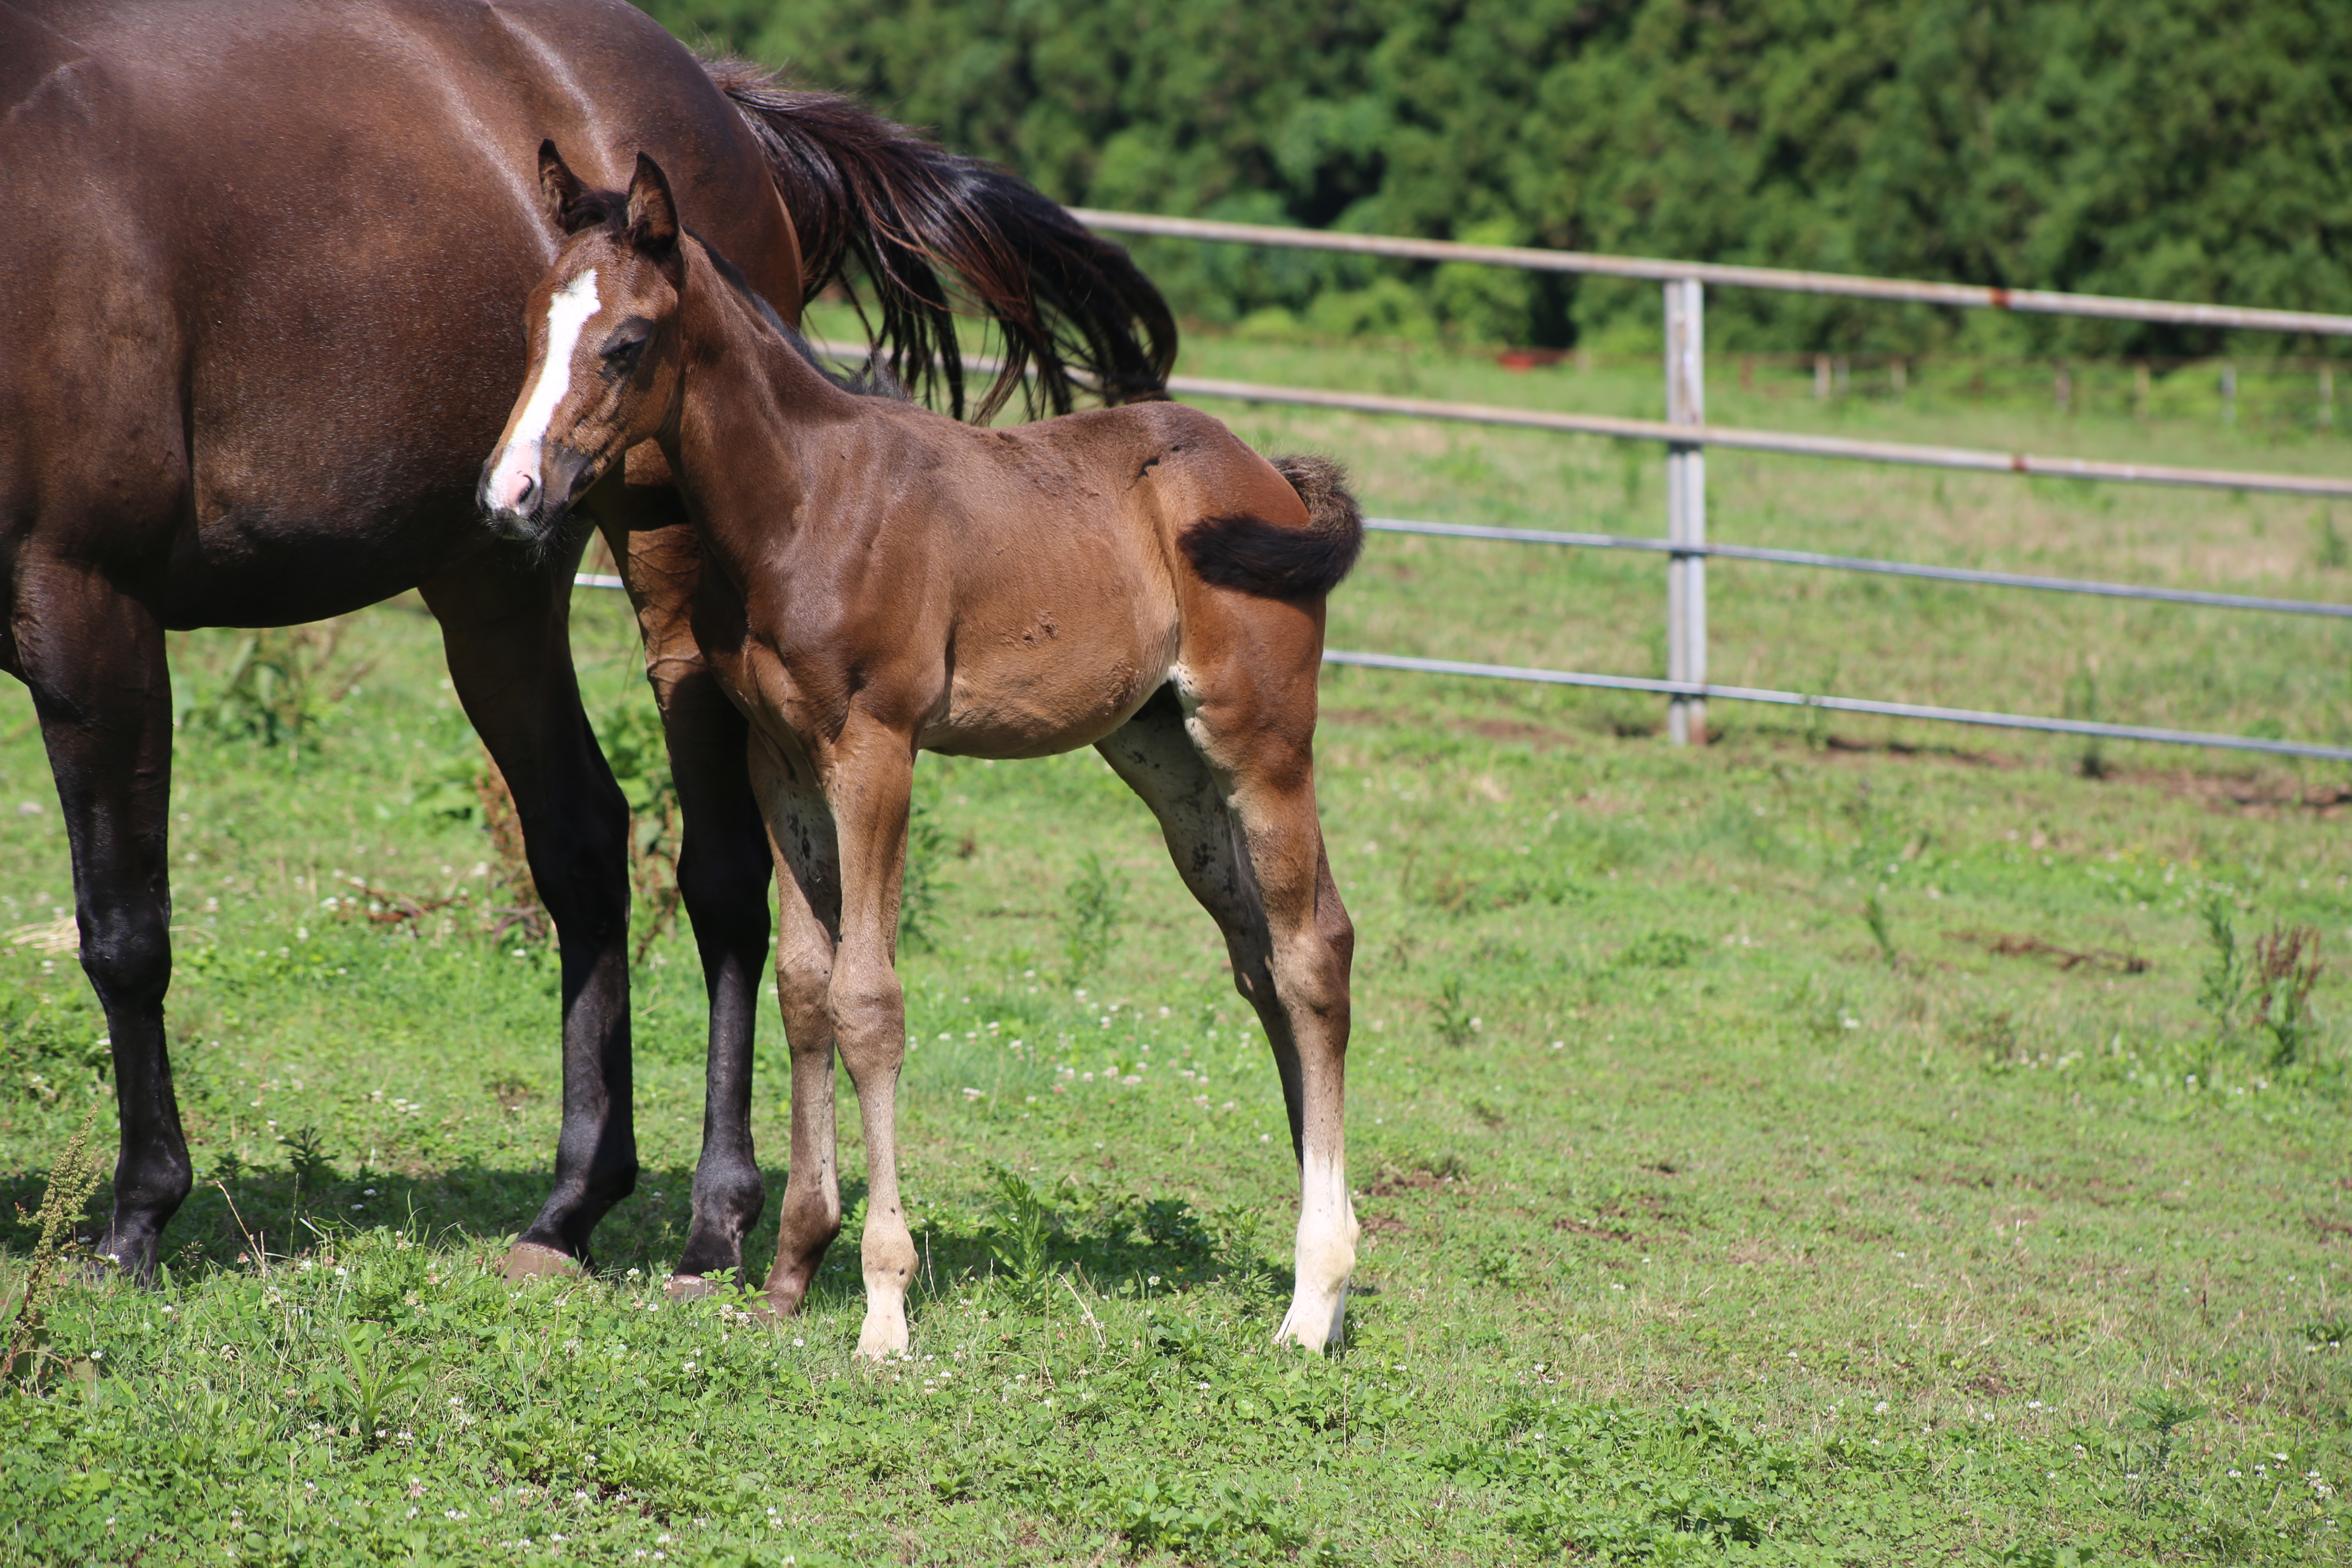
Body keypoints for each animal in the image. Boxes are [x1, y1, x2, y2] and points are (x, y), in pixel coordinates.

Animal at [477, 160, 1364, 1354]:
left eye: (626, 342)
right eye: (535, 323)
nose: (509, 494)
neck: (802, 499)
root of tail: (1266, 474)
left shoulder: (876, 750)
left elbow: (870, 1001)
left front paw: (884, 1309)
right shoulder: (782, 762)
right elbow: (805, 988)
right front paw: (790, 1272)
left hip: (1260, 744)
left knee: (1313, 957)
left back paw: (1311, 1301)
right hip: (1166, 762)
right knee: (1266, 956)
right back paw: (1322, 1264)